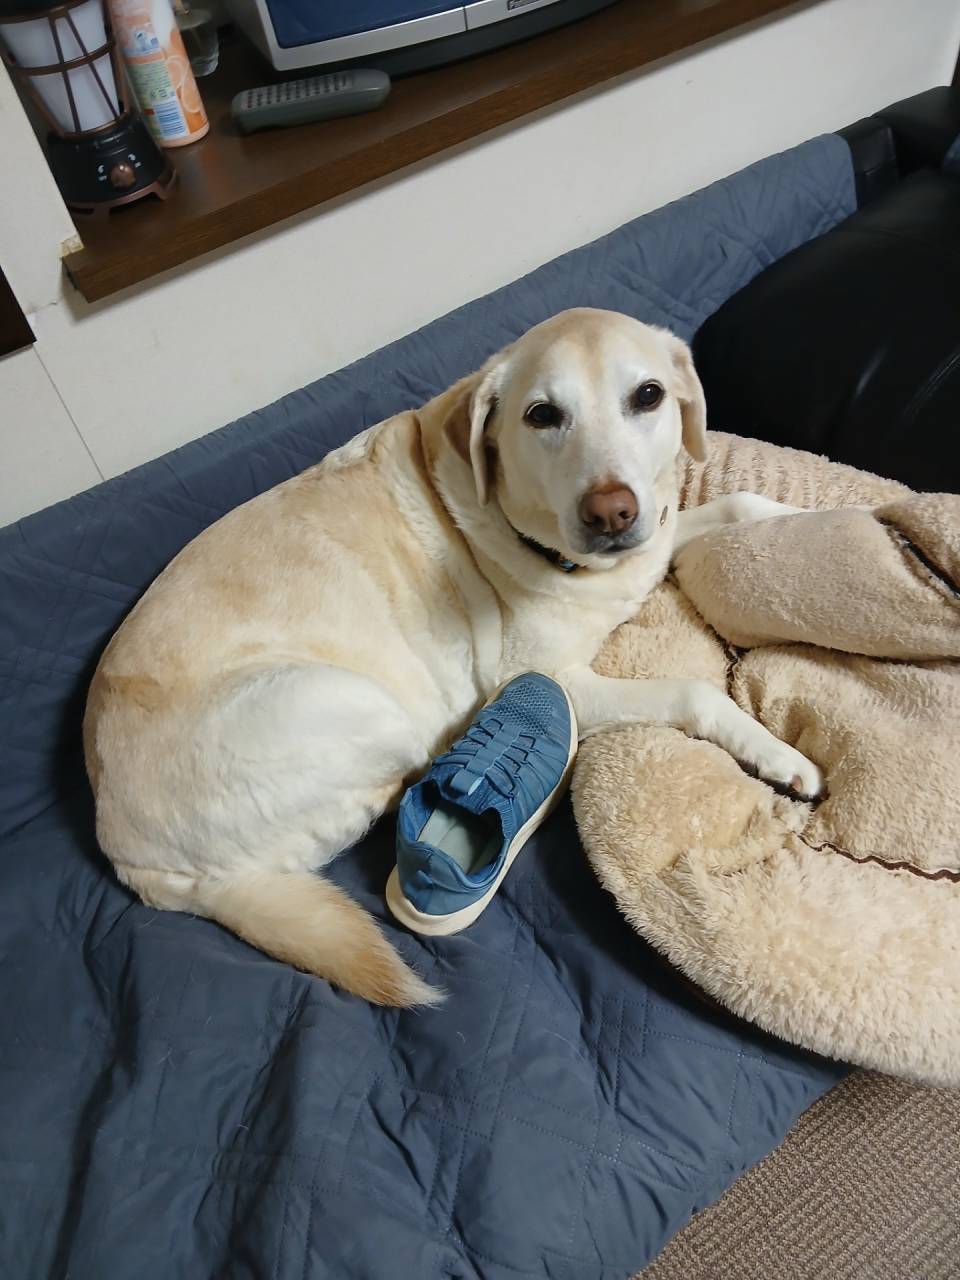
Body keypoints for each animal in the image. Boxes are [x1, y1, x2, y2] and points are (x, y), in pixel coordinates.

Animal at [84, 308, 823, 1007]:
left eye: (647, 396)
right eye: (541, 415)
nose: (610, 512)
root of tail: (128, 857)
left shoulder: (653, 542)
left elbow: (735, 502)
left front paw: (822, 518)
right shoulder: (547, 675)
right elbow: (692, 692)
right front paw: (779, 756)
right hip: (349, 702)